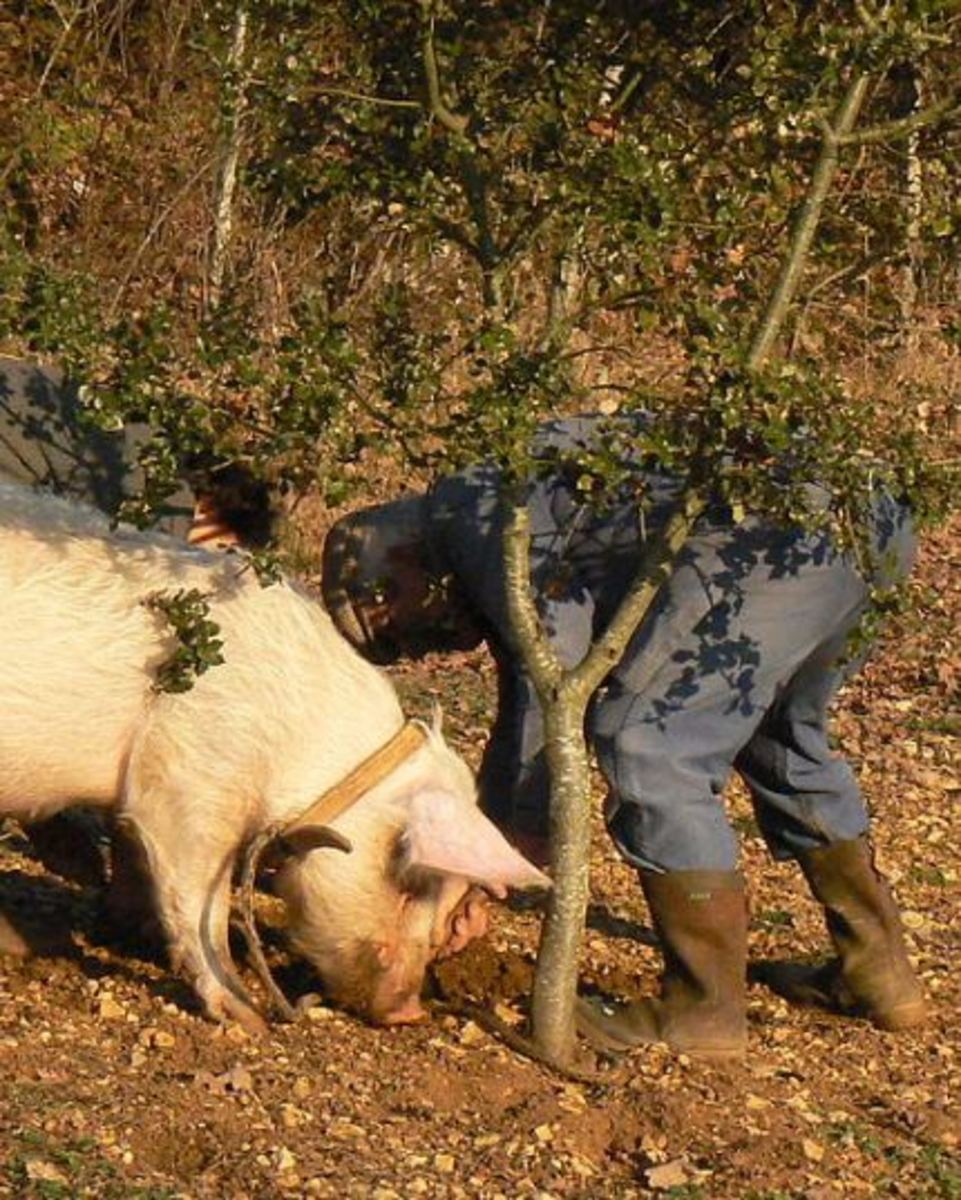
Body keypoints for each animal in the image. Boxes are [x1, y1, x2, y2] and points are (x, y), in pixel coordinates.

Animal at [0, 482, 547, 1027]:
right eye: (408, 881)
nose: (408, 1011)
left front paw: (133, 933)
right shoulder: (193, 777)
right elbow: (201, 898)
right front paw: (248, 1018)